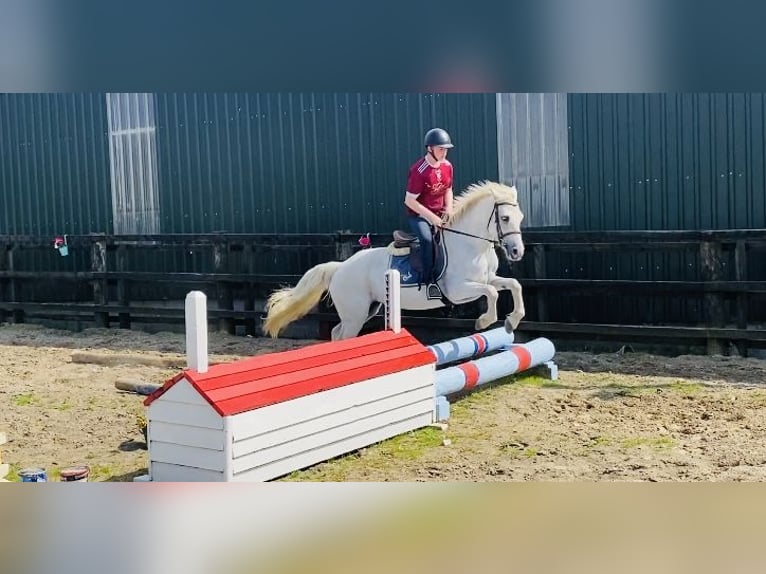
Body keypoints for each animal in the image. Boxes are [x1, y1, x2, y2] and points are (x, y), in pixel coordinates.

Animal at [264, 182, 528, 340]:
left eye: (521, 217)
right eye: (505, 218)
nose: (517, 252)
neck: (472, 245)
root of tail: (339, 268)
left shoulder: (489, 278)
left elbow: (513, 284)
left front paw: (512, 320)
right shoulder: (459, 290)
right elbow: (491, 294)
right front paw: (484, 321)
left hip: (367, 309)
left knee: (338, 333)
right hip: (355, 313)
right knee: (344, 335)